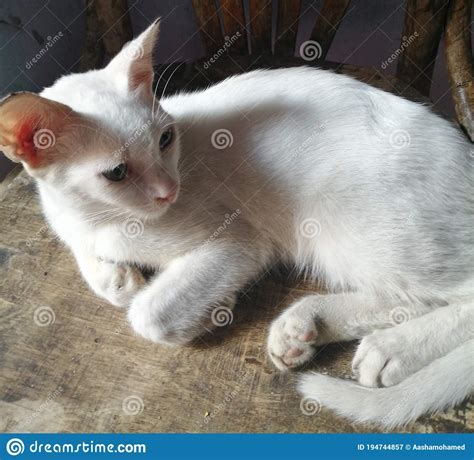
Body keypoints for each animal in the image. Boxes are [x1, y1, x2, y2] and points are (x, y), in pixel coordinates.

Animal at [0, 19, 474, 426]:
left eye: (165, 139)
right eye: (116, 173)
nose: (169, 189)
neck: (106, 219)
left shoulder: (238, 240)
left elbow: (146, 314)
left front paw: (202, 310)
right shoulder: (70, 221)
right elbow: (90, 259)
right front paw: (117, 278)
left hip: (349, 226)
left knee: (449, 295)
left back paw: (392, 349)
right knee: (408, 297)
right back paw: (303, 328)